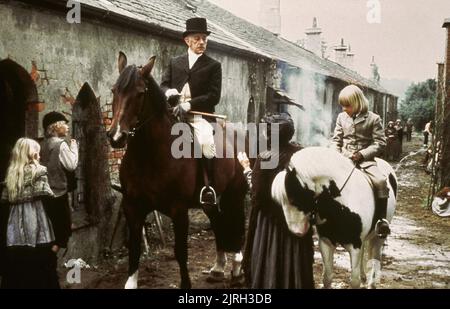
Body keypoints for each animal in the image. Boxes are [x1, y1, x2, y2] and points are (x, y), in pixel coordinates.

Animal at [107, 51, 248, 288]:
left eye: (140, 94)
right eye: (114, 90)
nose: (116, 136)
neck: (149, 155)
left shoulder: (179, 210)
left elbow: (180, 251)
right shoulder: (132, 207)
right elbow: (134, 249)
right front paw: (131, 282)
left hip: (235, 193)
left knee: (237, 225)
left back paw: (237, 269)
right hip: (211, 201)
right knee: (218, 224)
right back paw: (218, 268)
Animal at [270, 146, 398, 286]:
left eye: (294, 198)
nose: (297, 232)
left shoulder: (355, 246)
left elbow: (354, 281)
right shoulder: (326, 242)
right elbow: (327, 277)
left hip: (379, 237)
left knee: (375, 259)